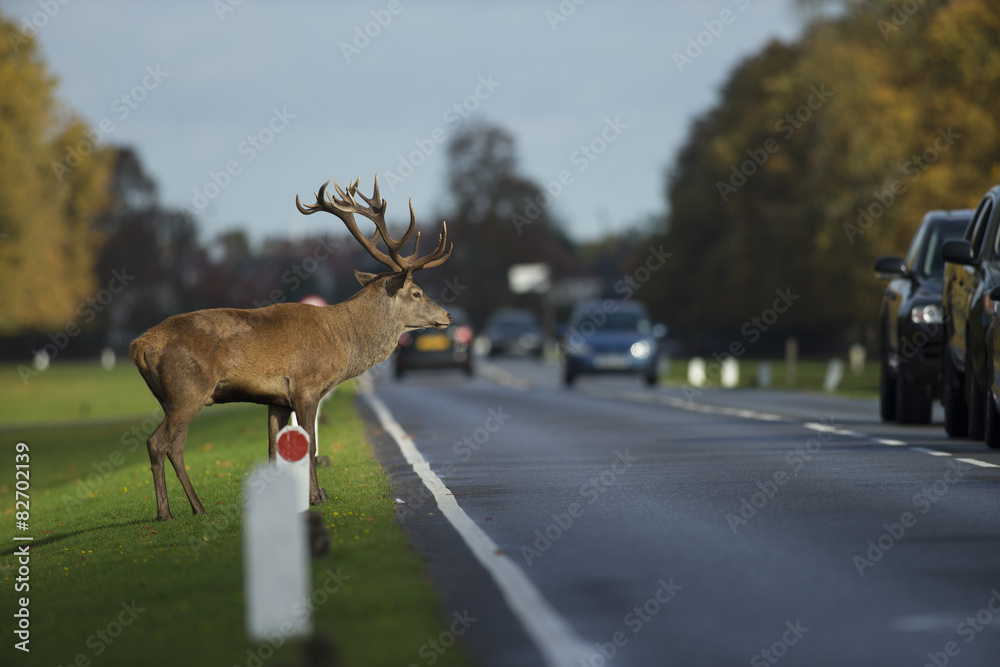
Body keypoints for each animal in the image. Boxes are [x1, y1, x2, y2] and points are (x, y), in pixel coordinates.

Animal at [130, 176, 452, 520]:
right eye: (417, 292)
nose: (447, 315)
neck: (342, 340)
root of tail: (139, 346)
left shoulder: (277, 399)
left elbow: (273, 448)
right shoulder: (305, 387)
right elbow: (310, 445)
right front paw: (316, 497)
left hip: (171, 398)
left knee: (174, 446)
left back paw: (193, 507)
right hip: (188, 390)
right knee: (158, 442)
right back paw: (169, 512)